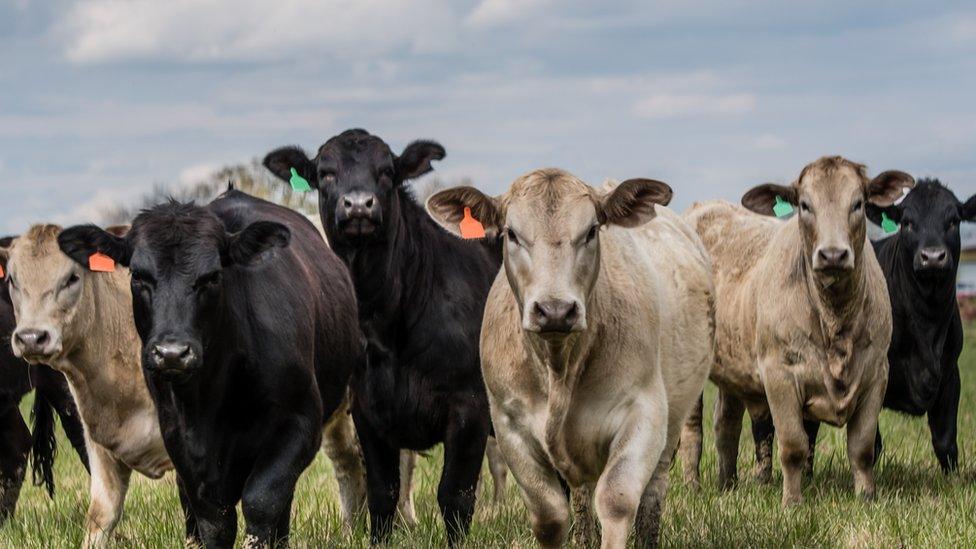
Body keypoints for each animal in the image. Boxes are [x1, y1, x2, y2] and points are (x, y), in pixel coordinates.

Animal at [264, 130, 504, 544]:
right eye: (325, 173)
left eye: (387, 171)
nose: (359, 204)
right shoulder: (369, 411)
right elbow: (382, 493)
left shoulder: (469, 407)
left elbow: (455, 495)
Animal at [426, 169, 708, 548]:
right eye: (511, 233)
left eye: (591, 230)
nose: (555, 310)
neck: (559, 367)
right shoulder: (509, 424)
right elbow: (549, 517)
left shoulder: (643, 412)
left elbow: (616, 501)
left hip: (673, 422)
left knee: (651, 494)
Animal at [684, 155, 912, 506]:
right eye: (805, 205)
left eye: (858, 203)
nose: (833, 254)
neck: (835, 320)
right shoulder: (779, 373)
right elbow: (793, 446)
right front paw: (792, 501)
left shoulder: (876, 373)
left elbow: (861, 448)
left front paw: (866, 497)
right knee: (692, 429)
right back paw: (692, 485)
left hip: (732, 369)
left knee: (726, 425)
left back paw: (728, 484)